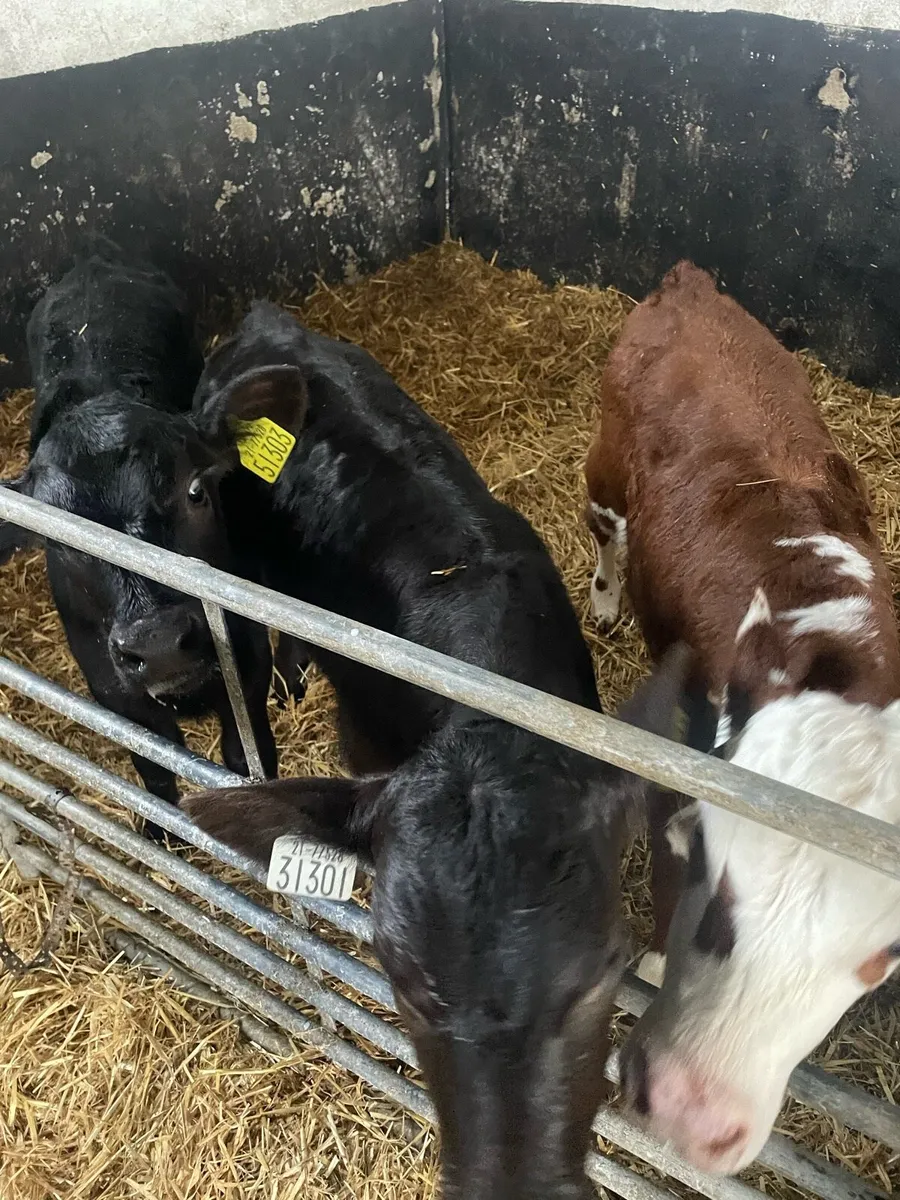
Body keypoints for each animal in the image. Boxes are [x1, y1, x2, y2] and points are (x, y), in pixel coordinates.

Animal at [0, 237, 277, 835]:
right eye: (61, 541)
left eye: (196, 490)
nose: (158, 643)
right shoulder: (113, 694)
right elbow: (154, 772)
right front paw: (159, 832)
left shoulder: (247, 662)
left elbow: (247, 759)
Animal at [584, 259, 900, 1174]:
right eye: (702, 851)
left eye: (887, 953)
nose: (690, 1113)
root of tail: (689, 285)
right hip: (604, 469)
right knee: (603, 528)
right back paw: (607, 597)